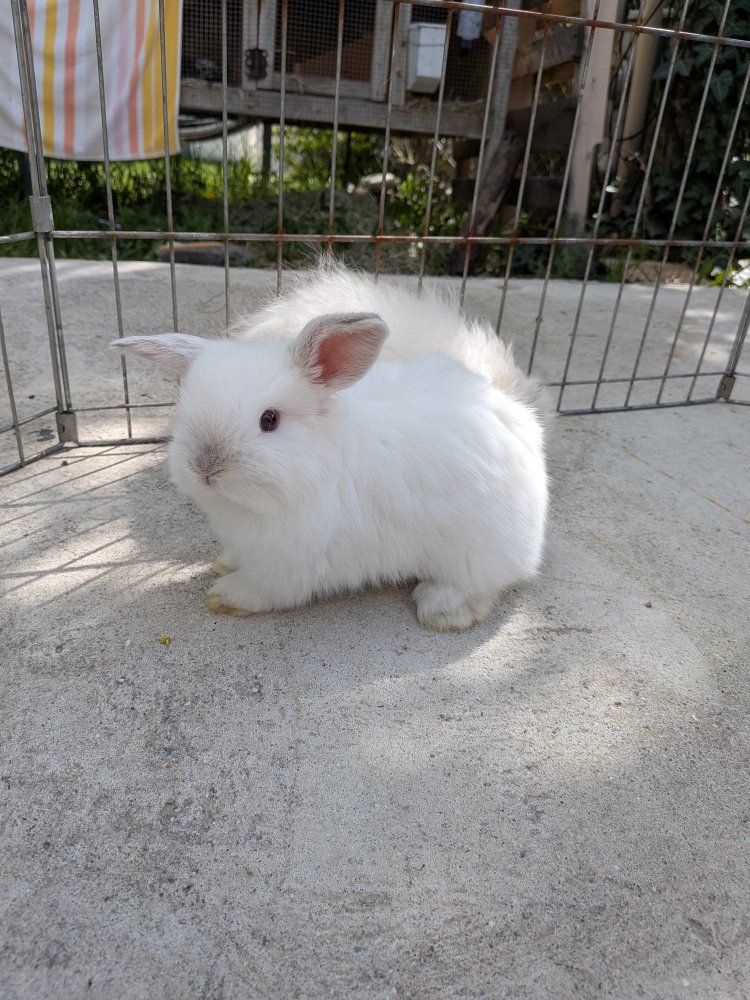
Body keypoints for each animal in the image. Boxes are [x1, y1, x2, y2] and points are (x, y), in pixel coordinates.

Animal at [114, 266, 549, 631]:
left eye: (269, 419)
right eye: (185, 411)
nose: (205, 467)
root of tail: (520, 413)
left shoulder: (287, 565)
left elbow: (261, 590)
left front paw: (224, 596)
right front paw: (224, 564)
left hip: (471, 553)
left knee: (483, 585)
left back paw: (442, 610)